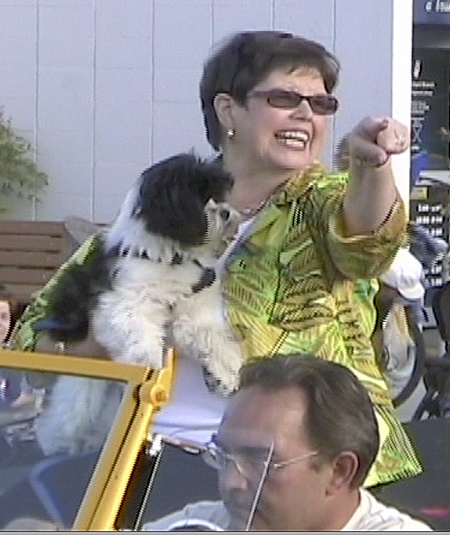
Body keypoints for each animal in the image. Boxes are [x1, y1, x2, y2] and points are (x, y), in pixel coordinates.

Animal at [35, 154, 244, 456]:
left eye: (217, 196)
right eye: (200, 198)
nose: (226, 212)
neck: (170, 257)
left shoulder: (195, 305)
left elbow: (212, 338)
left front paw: (225, 373)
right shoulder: (124, 302)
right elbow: (139, 339)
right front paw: (149, 366)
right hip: (83, 390)